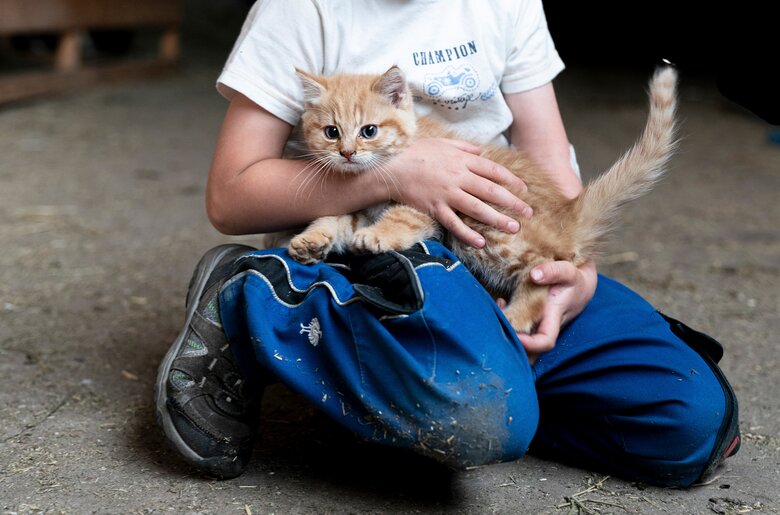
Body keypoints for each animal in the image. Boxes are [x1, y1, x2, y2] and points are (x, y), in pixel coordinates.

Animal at [280, 66, 676, 332]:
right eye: (331, 132)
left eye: (369, 131)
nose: (347, 153)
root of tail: (569, 213)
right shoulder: (361, 208)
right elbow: (336, 219)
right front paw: (311, 240)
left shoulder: (428, 203)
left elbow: (401, 218)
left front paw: (377, 236)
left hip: (489, 229)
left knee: (543, 269)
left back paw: (515, 317)